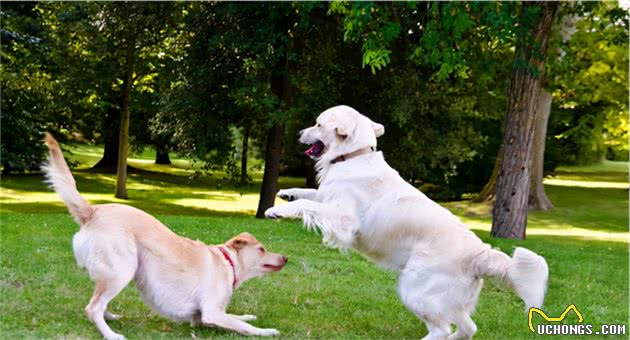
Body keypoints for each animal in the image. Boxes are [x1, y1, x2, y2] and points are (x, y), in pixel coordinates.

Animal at [43, 133, 288, 340]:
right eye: (262, 249)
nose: (286, 258)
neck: (228, 263)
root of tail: (92, 211)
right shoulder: (211, 313)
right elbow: (244, 326)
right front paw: (266, 331)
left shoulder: (203, 317)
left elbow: (237, 317)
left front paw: (249, 316)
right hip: (123, 268)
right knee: (93, 308)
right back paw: (111, 334)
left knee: (99, 302)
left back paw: (110, 317)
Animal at [264, 105, 552, 340]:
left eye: (318, 124)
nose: (299, 133)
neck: (354, 156)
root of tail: (481, 253)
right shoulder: (328, 197)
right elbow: (309, 194)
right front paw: (284, 195)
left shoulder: (344, 218)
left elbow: (308, 204)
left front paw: (279, 209)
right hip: (448, 300)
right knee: (468, 328)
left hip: (416, 289)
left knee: (442, 330)